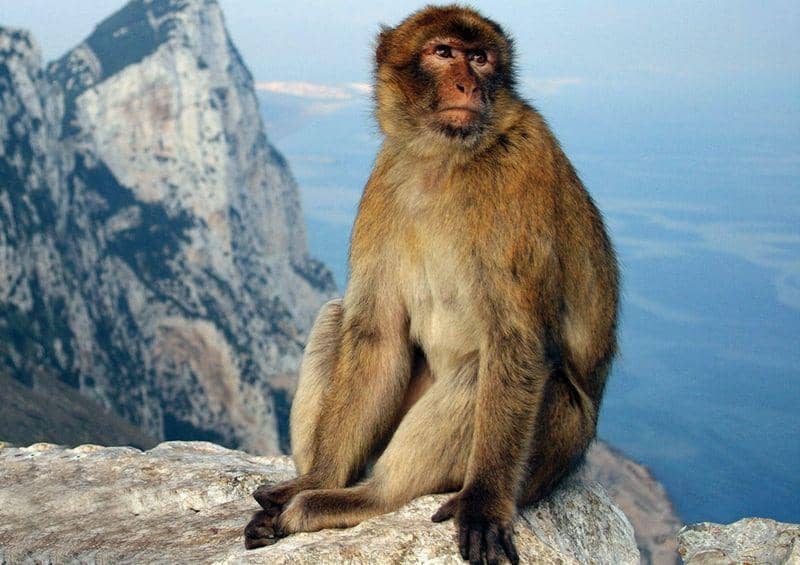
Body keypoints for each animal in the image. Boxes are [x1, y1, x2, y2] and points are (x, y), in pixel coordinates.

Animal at [244, 5, 618, 564]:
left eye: (481, 58)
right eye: (443, 53)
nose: (469, 84)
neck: (445, 160)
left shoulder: (520, 172)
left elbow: (514, 342)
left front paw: (483, 502)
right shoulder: (387, 177)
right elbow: (376, 335)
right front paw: (321, 475)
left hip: (555, 444)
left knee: (491, 369)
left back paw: (364, 498)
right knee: (338, 315)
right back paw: (313, 486)